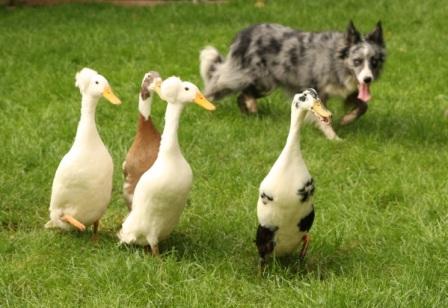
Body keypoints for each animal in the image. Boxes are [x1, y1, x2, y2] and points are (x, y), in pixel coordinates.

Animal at [200, 20, 384, 138]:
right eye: (357, 61)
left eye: (374, 62)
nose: (368, 79)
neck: (336, 61)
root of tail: (244, 33)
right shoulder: (317, 92)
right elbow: (324, 120)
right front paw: (335, 139)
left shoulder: (349, 92)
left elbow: (363, 106)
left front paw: (347, 119)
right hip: (253, 78)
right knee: (219, 84)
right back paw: (207, 103)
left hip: (263, 82)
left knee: (243, 94)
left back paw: (250, 111)